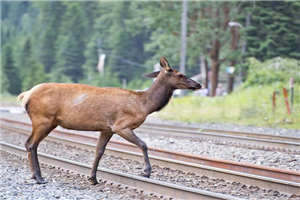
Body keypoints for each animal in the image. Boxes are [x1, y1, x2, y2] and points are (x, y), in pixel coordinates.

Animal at [18, 56, 202, 184]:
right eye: (180, 74)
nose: (198, 84)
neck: (144, 105)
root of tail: (26, 95)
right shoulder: (121, 125)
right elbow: (143, 144)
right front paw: (146, 172)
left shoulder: (106, 128)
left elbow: (99, 152)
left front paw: (93, 178)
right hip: (44, 119)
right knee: (32, 144)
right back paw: (39, 177)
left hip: (46, 122)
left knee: (29, 143)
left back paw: (35, 175)